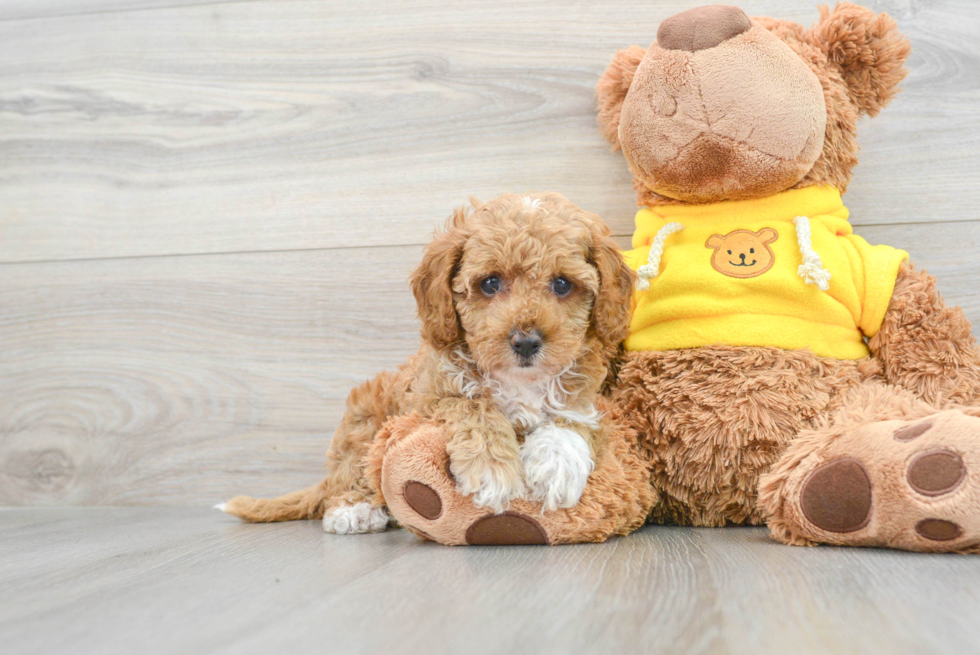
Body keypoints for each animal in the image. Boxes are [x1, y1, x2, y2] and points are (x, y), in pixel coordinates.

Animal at [219, 191, 636, 532]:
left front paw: (556, 467)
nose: (526, 341)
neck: (519, 381)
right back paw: (354, 509)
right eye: (490, 283)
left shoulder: (586, 395)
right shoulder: (428, 395)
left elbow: (569, 417)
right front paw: (492, 468)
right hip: (364, 415)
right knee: (351, 470)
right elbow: (472, 405)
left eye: (562, 284)